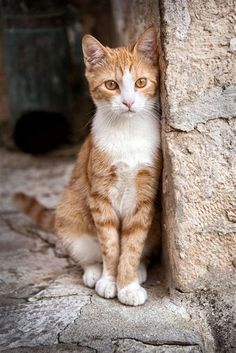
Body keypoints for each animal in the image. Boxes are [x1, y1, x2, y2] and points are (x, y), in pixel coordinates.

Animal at [14, 26, 162, 306]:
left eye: (140, 82)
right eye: (111, 85)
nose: (128, 102)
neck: (126, 132)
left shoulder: (145, 196)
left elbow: (132, 245)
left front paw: (127, 284)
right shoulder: (99, 196)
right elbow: (110, 245)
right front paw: (110, 281)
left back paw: (138, 270)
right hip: (70, 213)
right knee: (88, 255)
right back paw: (95, 273)